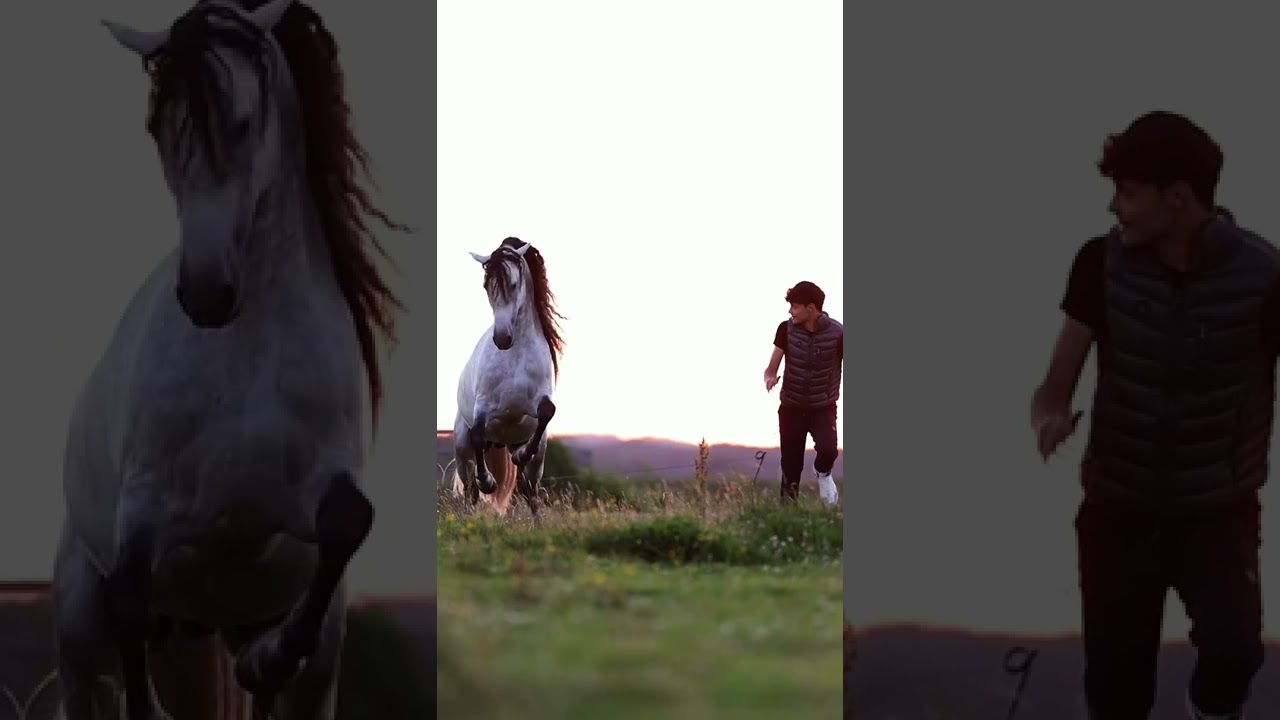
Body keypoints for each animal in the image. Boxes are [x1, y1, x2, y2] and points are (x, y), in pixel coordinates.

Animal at [54, 1, 406, 717]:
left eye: (244, 120)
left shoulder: (313, 491)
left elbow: (347, 521)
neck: (246, 354)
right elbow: (128, 594)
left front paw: (269, 658)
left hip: (300, 654)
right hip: (79, 635)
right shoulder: (147, 509)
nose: (207, 292)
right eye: (157, 127)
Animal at [448, 238, 565, 517]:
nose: (502, 338)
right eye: (486, 285)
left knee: (529, 491)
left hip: (536, 457)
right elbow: (478, 433)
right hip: (462, 450)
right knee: (470, 491)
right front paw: (487, 481)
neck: (515, 355)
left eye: (513, 284)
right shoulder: (483, 407)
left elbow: (547, 411)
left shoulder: (537, 401)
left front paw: (521, 455)